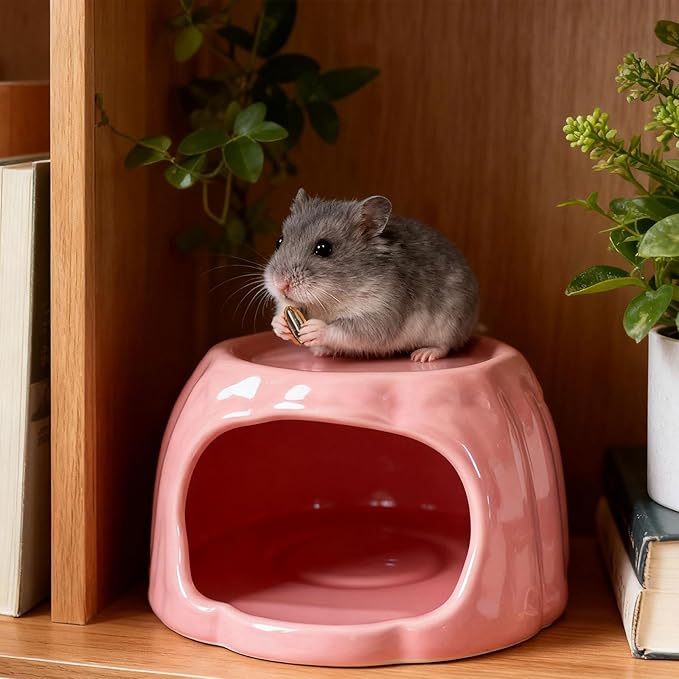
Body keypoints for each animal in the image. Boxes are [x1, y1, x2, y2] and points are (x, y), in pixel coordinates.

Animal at [264, 189, 480, 362]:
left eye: (323, 248)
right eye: (279, 241)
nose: (280, 284)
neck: (327, 301)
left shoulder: (381, 314)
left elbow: (344, 329)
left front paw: (313, 329)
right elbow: (280, 312)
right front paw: (280, 324)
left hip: (450, 325)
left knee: (444, 346)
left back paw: (422, 355)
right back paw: (322, 351)